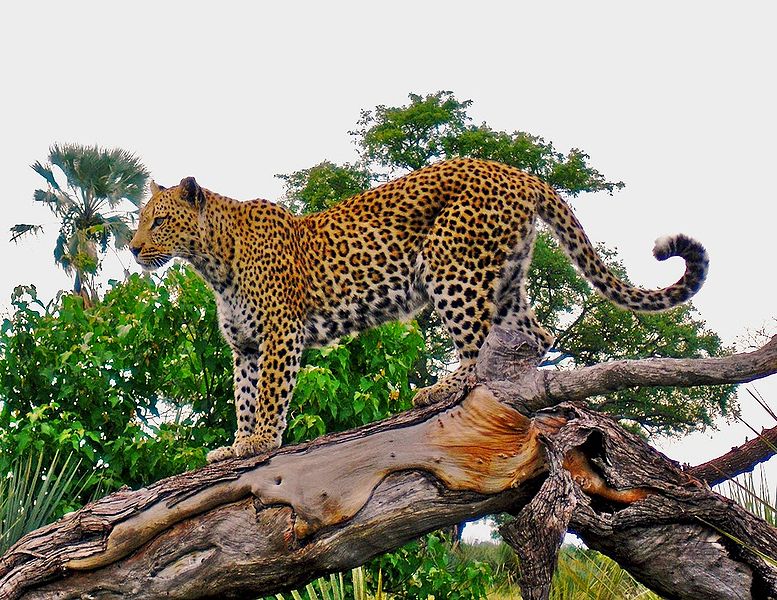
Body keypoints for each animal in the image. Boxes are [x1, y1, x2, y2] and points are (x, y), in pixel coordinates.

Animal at [130, 157, 708, 462]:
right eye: (140, 219)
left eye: (159, 220)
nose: (133, 248)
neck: (212, 260)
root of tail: (518, 172)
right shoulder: (246, 345)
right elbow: (245, 397)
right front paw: (237, 445)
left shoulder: (279, 334)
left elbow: (270, 394)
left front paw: (260, 444)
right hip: (505, 280)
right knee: (536, 335)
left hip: (452, 268)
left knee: (474, 346)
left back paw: (444, 389)